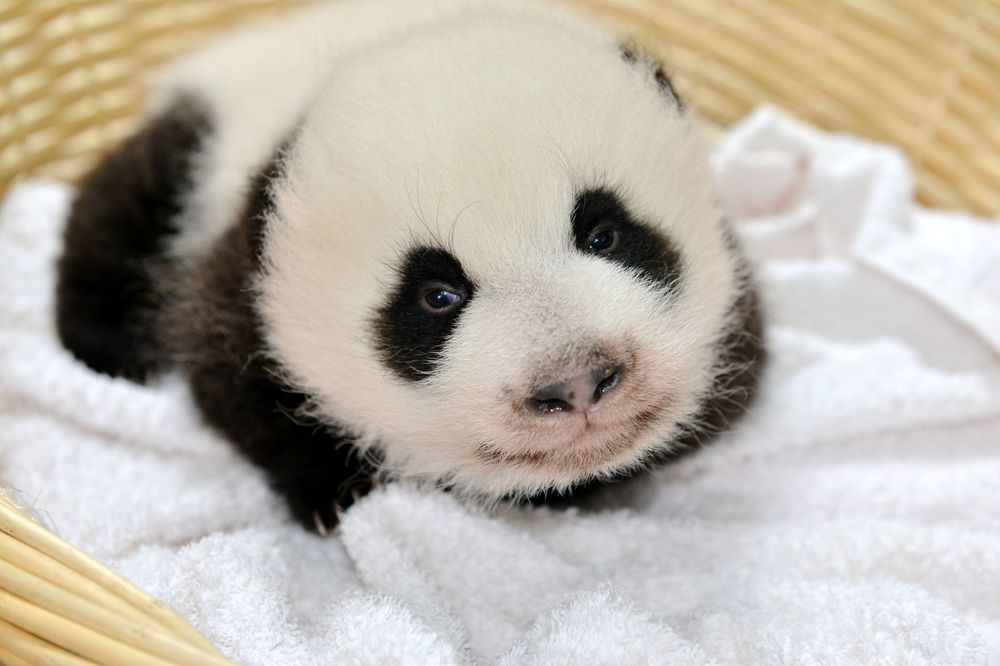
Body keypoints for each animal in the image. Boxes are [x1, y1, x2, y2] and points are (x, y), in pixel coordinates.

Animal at [55, 0, 764, 533]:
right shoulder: (247, 268)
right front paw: (337, 492)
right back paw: (113, 349)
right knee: (122, 201)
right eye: (437, 296)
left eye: (605, 235)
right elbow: (230, 377)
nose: (577, 383)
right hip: (200, 136)